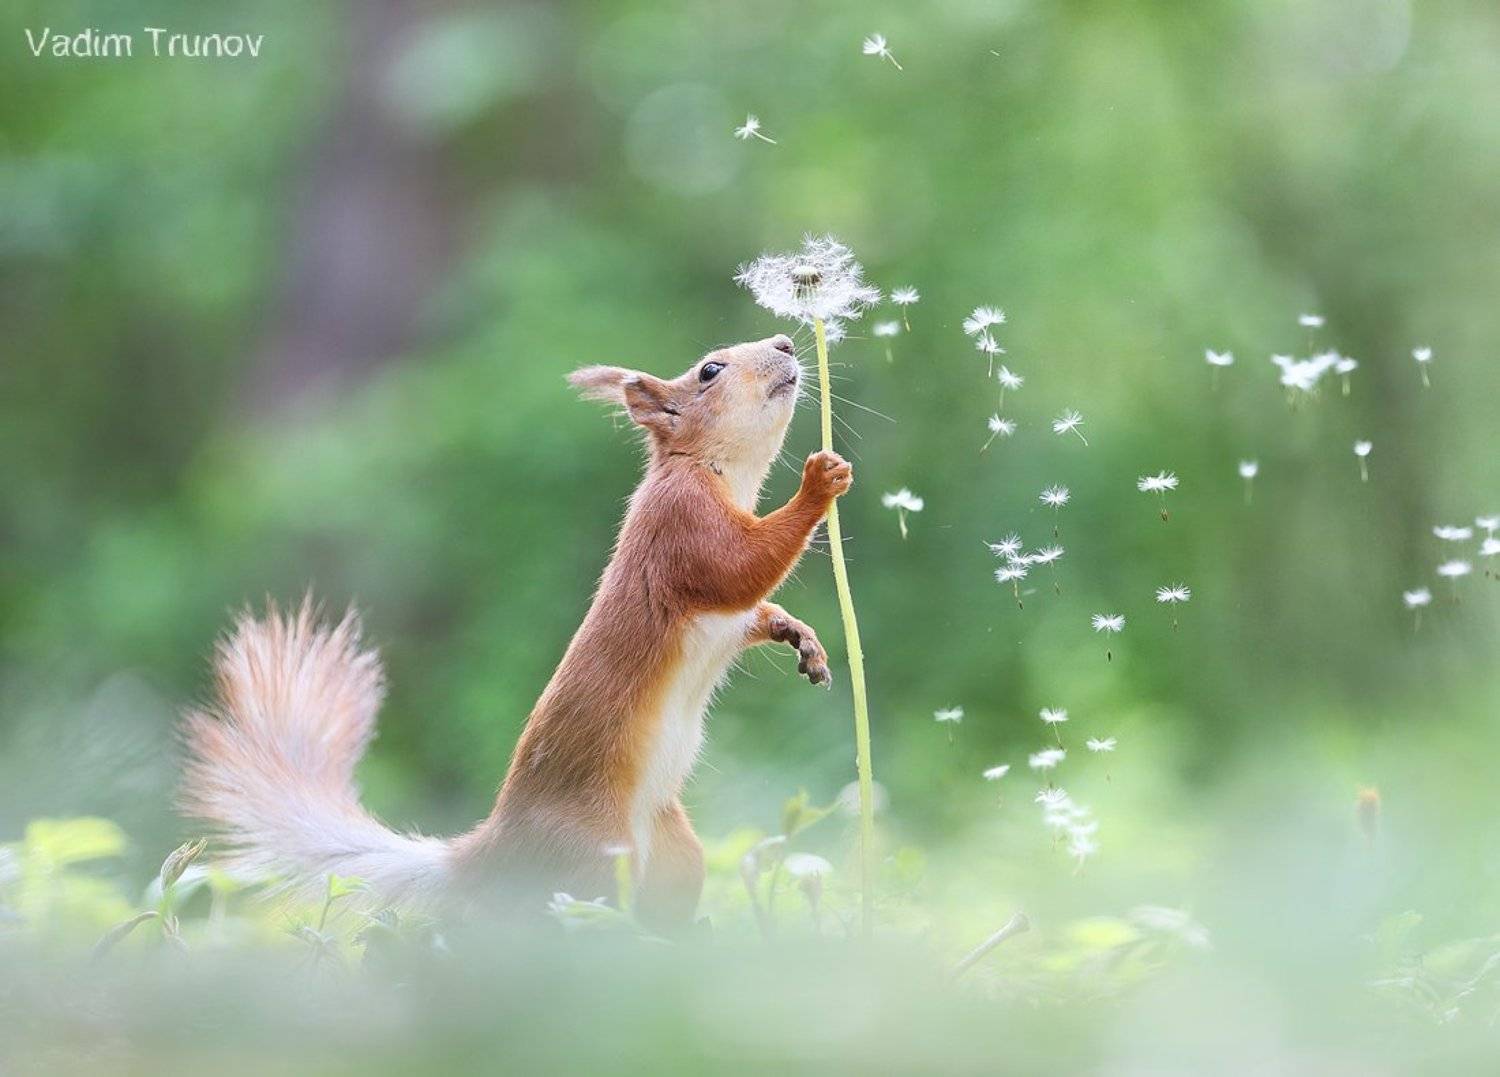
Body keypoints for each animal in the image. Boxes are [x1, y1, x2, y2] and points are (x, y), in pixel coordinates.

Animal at [180, 333, 852, 929]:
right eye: (711, 370)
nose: (787, 343)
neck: (720, 474)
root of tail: (492, 854)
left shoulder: (723, 604)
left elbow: (753, 608)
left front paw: (803, 641)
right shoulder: (681, 527)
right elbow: (743, 568)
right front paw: (820, 482)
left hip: (676, 856)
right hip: (592, 866)